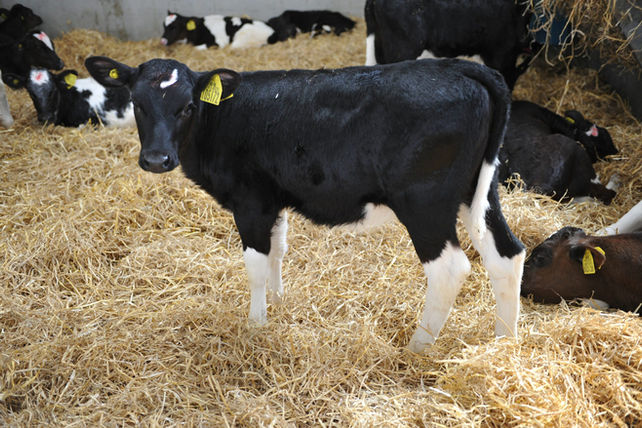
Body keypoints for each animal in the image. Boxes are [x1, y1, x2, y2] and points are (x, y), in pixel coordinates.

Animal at [85, 55, 526, 353]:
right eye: (137, 103)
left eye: (188, 106)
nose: (157, 159)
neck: (221, 119)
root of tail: (460, 68)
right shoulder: (273, 199)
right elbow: (278, 250)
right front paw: (279, 305)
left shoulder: (250, 201)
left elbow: (256, 264)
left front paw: (256, 324)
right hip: (477, 191)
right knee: (505, 254)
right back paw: (503, 344)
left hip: (424, 203)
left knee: (449, 269)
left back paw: (417, 347)